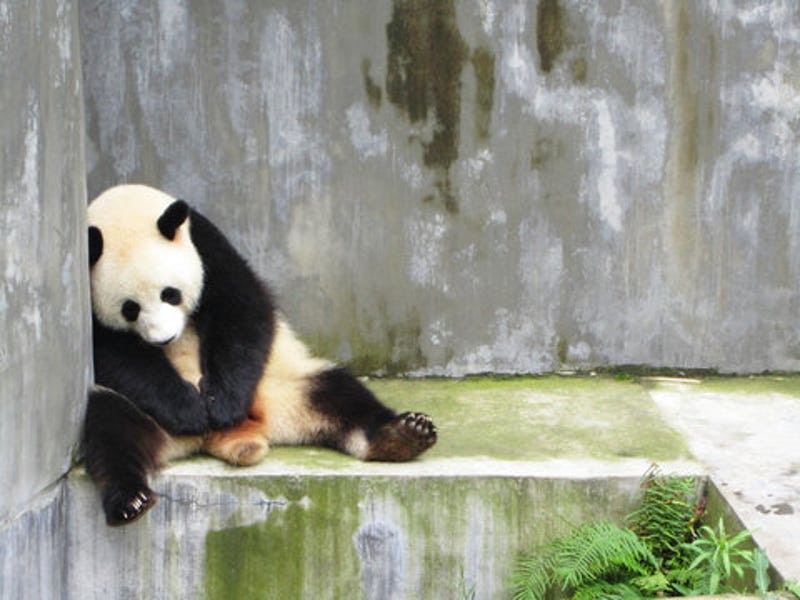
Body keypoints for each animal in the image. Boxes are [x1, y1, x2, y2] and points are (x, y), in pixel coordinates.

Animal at [83, 184, 437, 526]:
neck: (127, 205)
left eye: (170, 294)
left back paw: (402, 435)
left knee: (339, 391)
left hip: (282, 385)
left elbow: (242, 312)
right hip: (150, 416)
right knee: (110, 428)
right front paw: (189, 410)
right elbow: (114, 354)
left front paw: (220, 405)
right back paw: (131, 499)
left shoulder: (208, 247)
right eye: (130, 309)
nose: (165, 338)